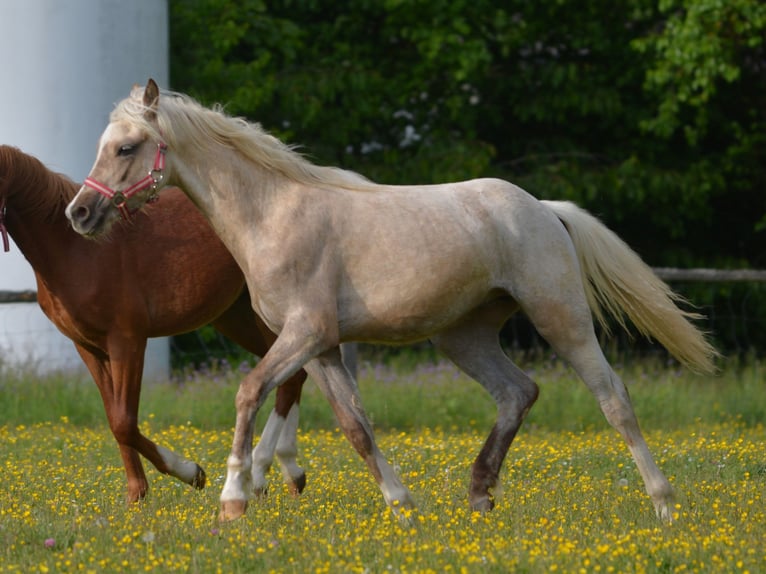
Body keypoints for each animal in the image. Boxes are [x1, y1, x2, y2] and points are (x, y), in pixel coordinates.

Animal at [0, 144, 308, 503]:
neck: (75, 250)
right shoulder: (89, 348)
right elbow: (114, 418)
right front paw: (137, 494)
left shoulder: (128, 341)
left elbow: (124, 421)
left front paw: (190, 472)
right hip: (237, 318)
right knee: (293, 376)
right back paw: (289, 476)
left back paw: (268, 474)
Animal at [66, 80, 718, 523]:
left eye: (126, 147)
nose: (80, 212)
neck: (273, 214)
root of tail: (544, 209)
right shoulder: (323, 349)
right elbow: (357, 428)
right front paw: (403, 504)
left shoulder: (304, 334)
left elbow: (250, 392)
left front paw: (231, 500)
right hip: (463, 335)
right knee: (518, 392)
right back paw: (479, 495)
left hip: (562, 318)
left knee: (613, 400)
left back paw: (663, 504)